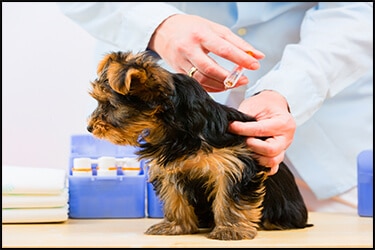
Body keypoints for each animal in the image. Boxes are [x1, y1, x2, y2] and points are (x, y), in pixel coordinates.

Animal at [86, 50, 312, 240]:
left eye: (111, 105)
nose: (89, 127)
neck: (178, 129)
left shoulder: (233, 165)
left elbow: (229, 197)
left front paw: (230, 229)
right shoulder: (169, 169)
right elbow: (174, 197)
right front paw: (175, 226)